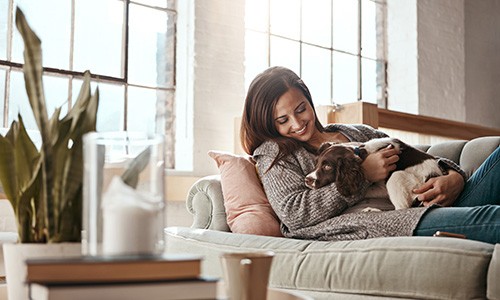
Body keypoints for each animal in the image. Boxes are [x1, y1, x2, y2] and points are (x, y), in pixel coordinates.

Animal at [306, 138, 444, 210]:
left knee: (402, 208)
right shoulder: (381, 188)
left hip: (397, 177)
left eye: (327, 167)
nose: (307, 179)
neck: (363, 153)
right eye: (316, 163)